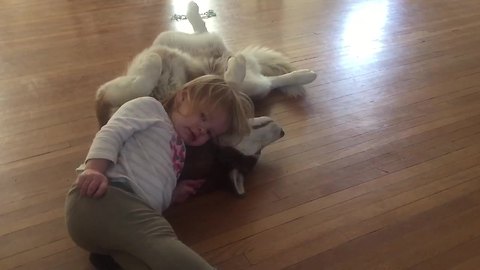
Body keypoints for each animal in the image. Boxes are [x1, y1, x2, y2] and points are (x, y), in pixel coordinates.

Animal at [95, 1, 316, 126]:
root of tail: (225, 53)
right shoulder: (107, 96)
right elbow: (138, 87)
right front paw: (153, 63)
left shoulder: (107, 94)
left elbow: (138, 86)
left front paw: (153, 61)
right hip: (250, 85)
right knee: (266, 82)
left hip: (169, 37)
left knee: (202, 30)